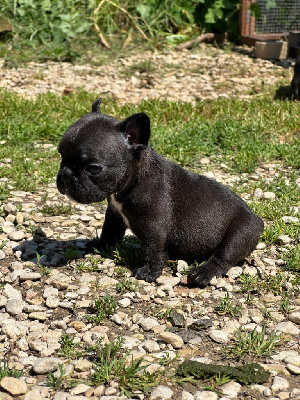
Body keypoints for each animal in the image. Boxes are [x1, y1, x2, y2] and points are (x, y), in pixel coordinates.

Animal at [57, 100, 264, 288]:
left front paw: (149, 272)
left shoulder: (153, 225)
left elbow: (153, 248)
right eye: (60, 155)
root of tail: (255, 217)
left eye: (94, 168)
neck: (135, 179)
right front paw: (100, 246)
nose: (65, 176)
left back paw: (202, 273)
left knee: (224, 257)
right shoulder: (114, 213)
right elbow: (109, 231)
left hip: (242, 231)